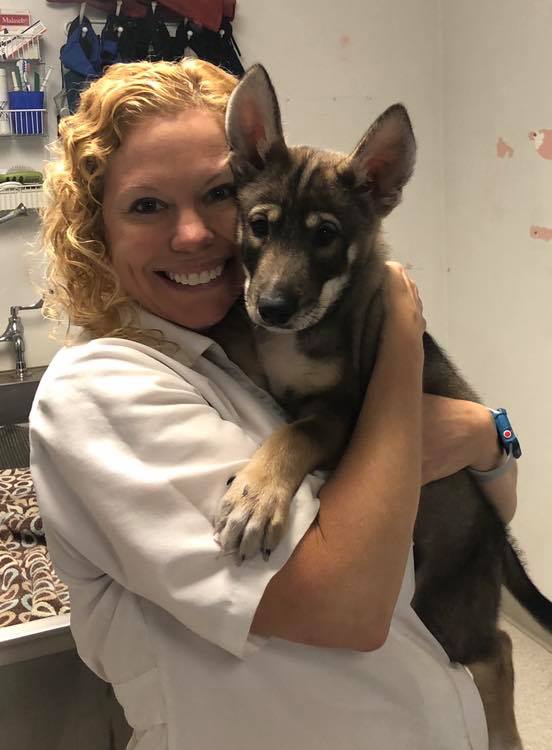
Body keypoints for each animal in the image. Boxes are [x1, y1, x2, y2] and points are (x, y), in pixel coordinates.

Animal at [211, 66, 552, 750]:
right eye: (259, 225)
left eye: (326, 236)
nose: (275, 308)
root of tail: (498, 536)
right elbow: (241, 342)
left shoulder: (343, 412)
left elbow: (293, 436)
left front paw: (257, 496)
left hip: (450, 597)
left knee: (496, 652)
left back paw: (504, 732)